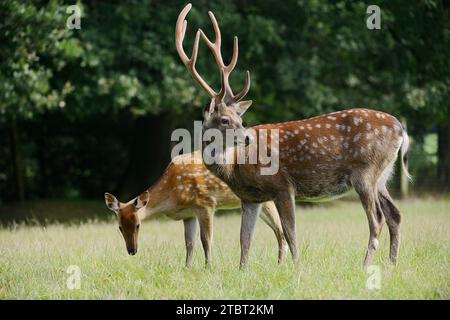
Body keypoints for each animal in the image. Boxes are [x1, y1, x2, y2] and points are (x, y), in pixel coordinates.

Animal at [104, 151, 286, 266]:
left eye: (138, 225)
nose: (132, 250)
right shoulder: (188, 215)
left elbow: (206, 240)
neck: (173, 193)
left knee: (280, 232)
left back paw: (280, 265)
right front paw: (187, 268)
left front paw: (208, 267)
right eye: (119, 227)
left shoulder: (206, 203)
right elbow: (189, 243)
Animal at [175, 3, 412, 268]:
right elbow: (245, 239)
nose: (247, 138)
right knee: (395, 214)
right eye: (225, 120)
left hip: (366, 171)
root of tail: (401, 128)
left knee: (377, 218)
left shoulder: (282, 184)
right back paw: (391, 264)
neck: (236, 166)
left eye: (241, 120)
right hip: (384, 175)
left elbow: (290, 232)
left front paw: (297, 267)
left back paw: (366, 265)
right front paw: (242, 270)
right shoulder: (250, 198)